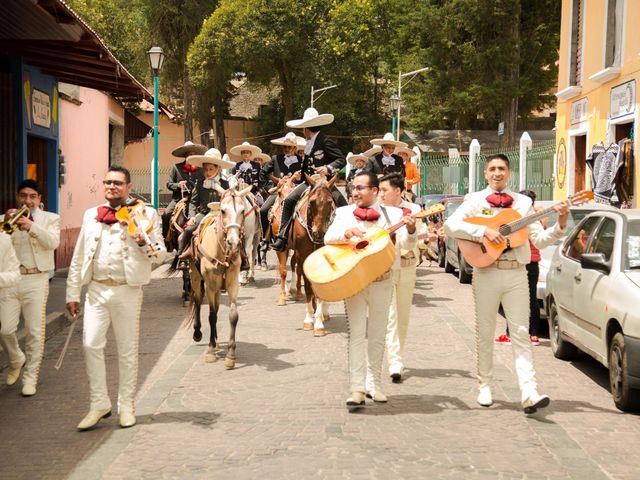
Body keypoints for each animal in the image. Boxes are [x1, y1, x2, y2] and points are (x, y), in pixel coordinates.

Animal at [186, 184, 251, 368]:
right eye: (223, 210)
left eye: (243, 211)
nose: (233, 242)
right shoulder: (210, 284)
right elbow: (212, 315)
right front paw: (209, 350)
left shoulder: (232, 284)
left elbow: (233, 316)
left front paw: (230, 354)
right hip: (196, 279)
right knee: (199, 302)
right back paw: (200, 334)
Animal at [292, 174, 338, 336]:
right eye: (312, 202)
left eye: (330, 202)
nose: (319, 233)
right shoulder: (302, 256)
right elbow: (308, 288)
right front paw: (308, 319)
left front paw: (318, 323)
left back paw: (324, 313)